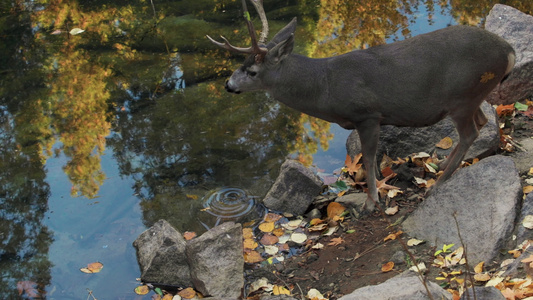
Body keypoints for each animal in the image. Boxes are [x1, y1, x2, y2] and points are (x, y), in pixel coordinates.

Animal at [206, 0, 512, 212]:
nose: (228, 85)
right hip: (471, 96)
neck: (324, 86)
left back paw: (437, 183)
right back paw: (443, 164)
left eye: (252, 72)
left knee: (470, 132)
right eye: (241, 65)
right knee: (483, 122)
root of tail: (509, 52)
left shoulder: (367, 115)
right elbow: (370, 160)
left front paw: (371, 201)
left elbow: (367, 156)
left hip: (464, 94)